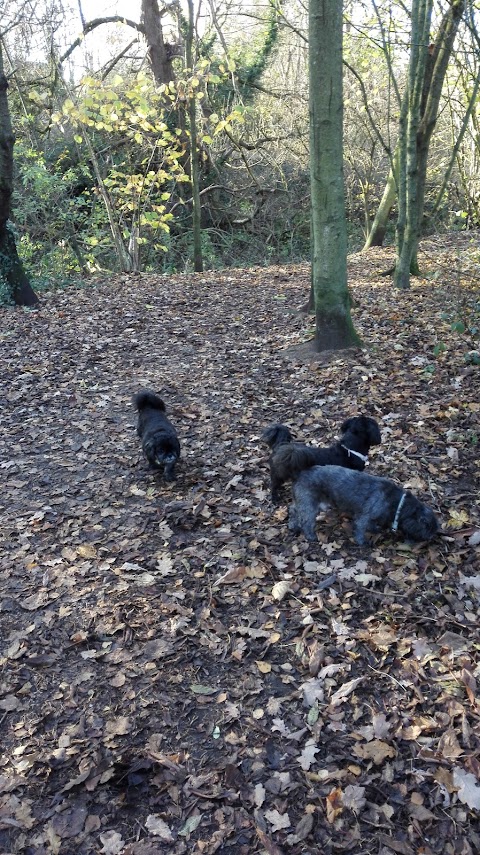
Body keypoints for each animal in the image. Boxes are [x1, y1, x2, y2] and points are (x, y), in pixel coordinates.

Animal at [288, 464, 438, 544]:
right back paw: (310, 536)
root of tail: (300, 474)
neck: (398, 503)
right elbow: (361, 528)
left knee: (293, 509)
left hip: (307, 502)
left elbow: (372, 525)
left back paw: (292, 525)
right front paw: (363, 542)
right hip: (310, 505)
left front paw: (375, 529)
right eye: (427, 527)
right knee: (306, 521)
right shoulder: (364, 516)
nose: (432, 537)